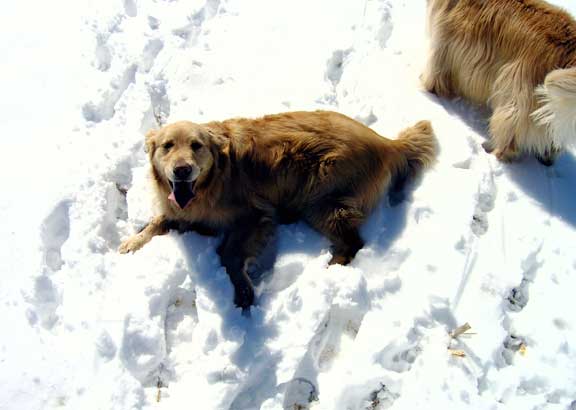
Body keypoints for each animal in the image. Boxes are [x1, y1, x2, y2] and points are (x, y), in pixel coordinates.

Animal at [118, 110, 436, 310]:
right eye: (167, 146)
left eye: (196, 145)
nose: (182, 170)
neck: (212, 181)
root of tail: (388, 143)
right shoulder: (184, 211)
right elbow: (157, 222)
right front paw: (132, 242)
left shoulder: (254, 215)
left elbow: (229, 254)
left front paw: (243, 291)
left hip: (321, 197)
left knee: (353, 241)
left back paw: (330, 267)